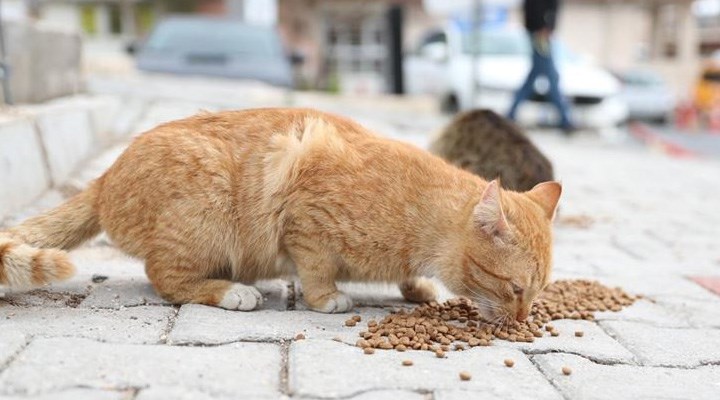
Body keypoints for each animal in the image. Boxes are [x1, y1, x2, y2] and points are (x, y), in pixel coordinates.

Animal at [0, 108, 564, 320]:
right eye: (515, 289)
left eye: (537, 293)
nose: (521, 321)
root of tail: (105, 179)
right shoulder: (306, 221)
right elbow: (315, 271)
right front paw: (328, 298)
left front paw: (417, 287)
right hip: (205, 212)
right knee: (165, 277)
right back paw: (232, 291)